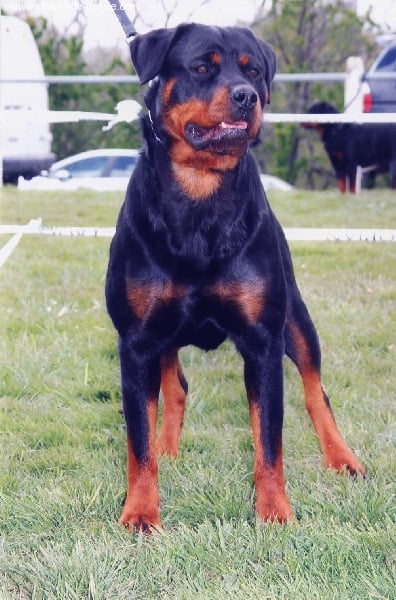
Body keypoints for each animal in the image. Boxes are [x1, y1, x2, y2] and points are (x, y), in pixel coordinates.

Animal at [106, 23, 366, 532]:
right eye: (202, 67)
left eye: (254, 72)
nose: (246, 96)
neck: (200, 197)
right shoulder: (137, 340)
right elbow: (138, 438)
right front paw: (142, 510)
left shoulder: (263, 340)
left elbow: (269, 439)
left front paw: (275, 510)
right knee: (175, 388)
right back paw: (168, 449)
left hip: (296, 319)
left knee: (315, 389)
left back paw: (342, 457)